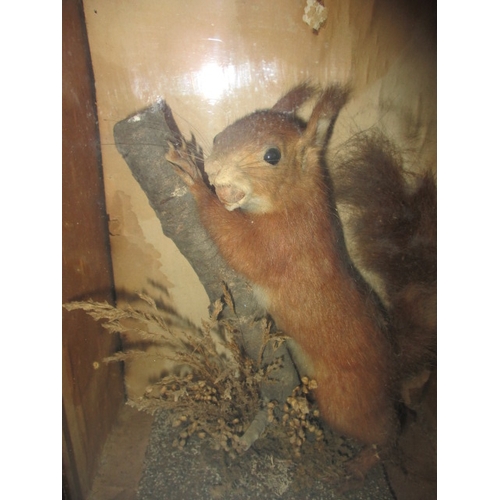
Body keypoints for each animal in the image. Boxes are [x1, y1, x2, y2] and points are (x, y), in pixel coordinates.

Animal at [166, 85, 436, 480]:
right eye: (218, 137)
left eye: (272, 155)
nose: (213, 170)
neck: (294, 200)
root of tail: (393, 364)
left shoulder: (286, 242)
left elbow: (241, 247)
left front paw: (195, 181)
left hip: (345, 402)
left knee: (389, 429)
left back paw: (360, 464)